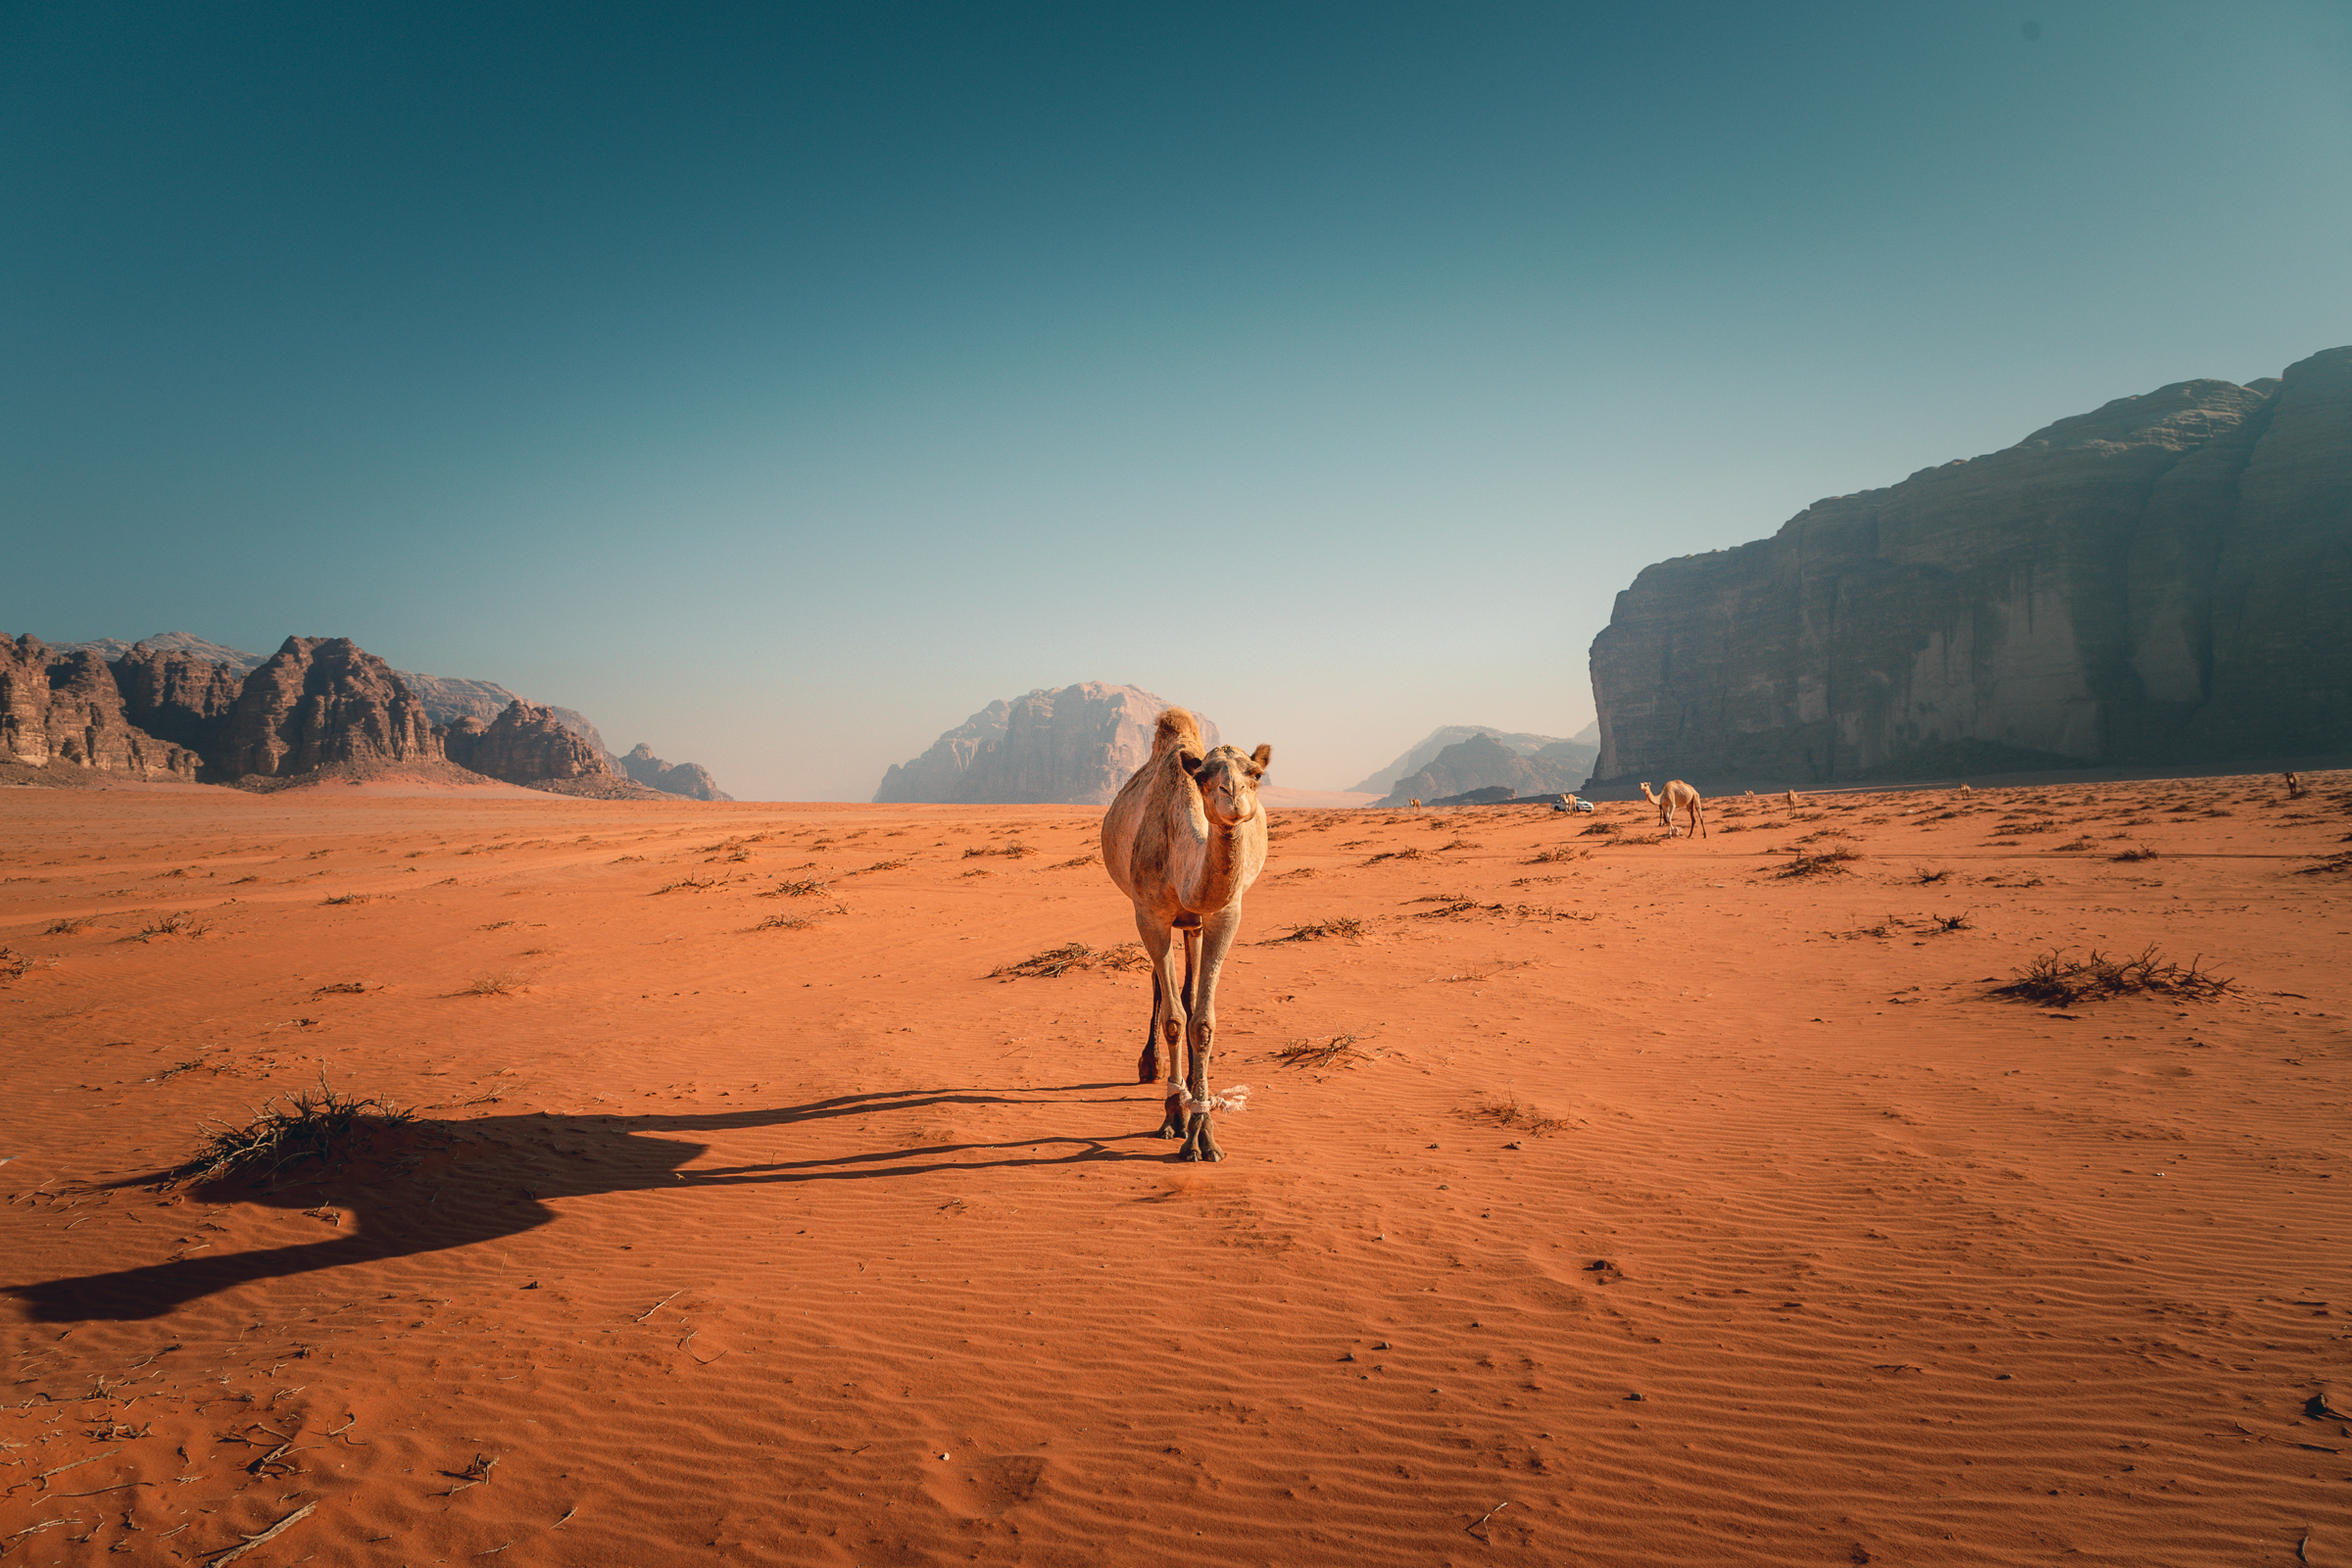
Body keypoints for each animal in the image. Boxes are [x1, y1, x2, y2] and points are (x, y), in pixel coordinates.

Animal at [1105, 710, 1279, 1165]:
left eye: (1255, 774)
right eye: (1202, 776)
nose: (1232, 795)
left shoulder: (1222, 914)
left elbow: (1201, 1022)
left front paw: (1204, 1133)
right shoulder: (1150, 915)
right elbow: (1173, 1018)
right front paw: (1174, 1116)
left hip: (1194, 925)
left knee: (1184, 988)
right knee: (1159, 985)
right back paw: (1150, 1067)